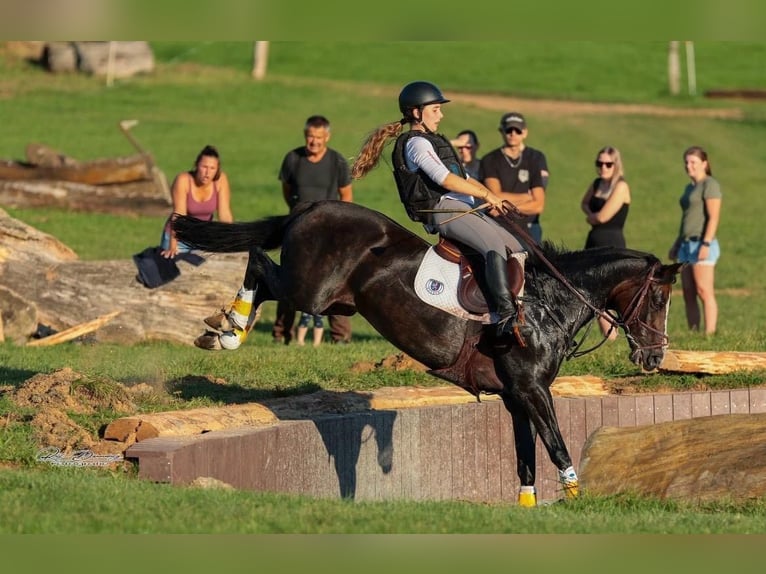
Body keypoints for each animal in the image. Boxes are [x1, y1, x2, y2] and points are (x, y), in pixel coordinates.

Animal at [174, 202, 684, 508]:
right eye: (659, 299)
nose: (655, 357)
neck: (549, 301)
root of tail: (314, 205)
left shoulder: (516, 396)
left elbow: (526, 456)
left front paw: (528, 508)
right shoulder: (532, 389)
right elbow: (555, 444)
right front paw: (578, 501)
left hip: (336, 302)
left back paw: (224, 329)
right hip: (311, 292)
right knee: (260, 261)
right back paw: (228, 329)